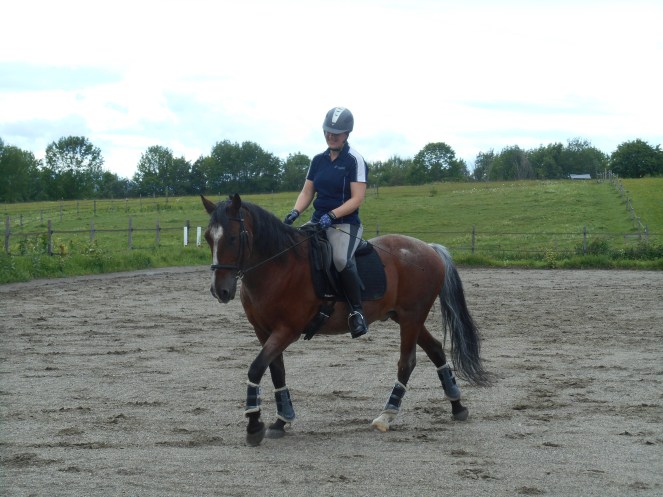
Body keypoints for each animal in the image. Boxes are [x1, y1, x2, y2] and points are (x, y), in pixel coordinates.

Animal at [202, 193, 490, 446]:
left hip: (411, 317)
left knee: (407, 362)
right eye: (208, 238)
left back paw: (387, 414)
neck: (279, 266)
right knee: (436, 350)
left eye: (233, 237)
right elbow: (276, 371)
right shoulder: (263, 331)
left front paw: (254, 425)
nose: (219, 290)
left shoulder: (286, 330)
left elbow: (256, 368)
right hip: (405, 317)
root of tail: (427, 248)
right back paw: (457, 406)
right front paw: (282, 420)